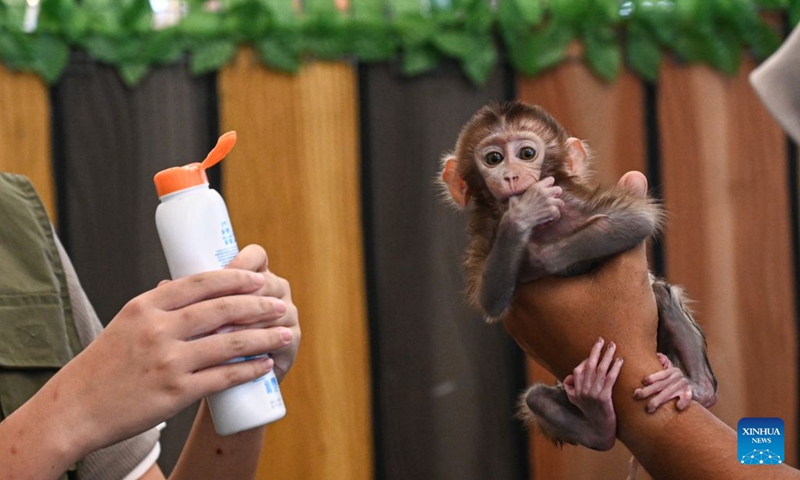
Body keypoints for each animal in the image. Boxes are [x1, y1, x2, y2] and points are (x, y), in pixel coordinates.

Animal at [439, 100, 717, 452]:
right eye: (493, 159)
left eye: (526, 153)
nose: (510, 174)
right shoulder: (486, 233)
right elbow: (491, 299)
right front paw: (521, 215)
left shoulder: (571, 199)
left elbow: (636, 220)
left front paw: (536, 256)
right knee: (539, 399)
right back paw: (597, 418)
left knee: (662, 294)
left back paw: (695, 387)